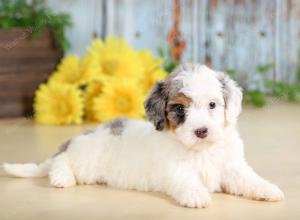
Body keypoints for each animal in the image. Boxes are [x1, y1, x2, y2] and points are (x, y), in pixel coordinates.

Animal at [2, 64, 284, 208]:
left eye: (213, 105)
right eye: (180, 109)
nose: (201, 131)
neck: (201, 150)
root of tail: (82, 137)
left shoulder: (232, 167)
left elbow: (248, 178)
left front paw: (268, 189)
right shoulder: (175, 170)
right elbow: (187, 180)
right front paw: (196, 195)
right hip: (86, 162)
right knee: (61, 162)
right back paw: (62, 177)